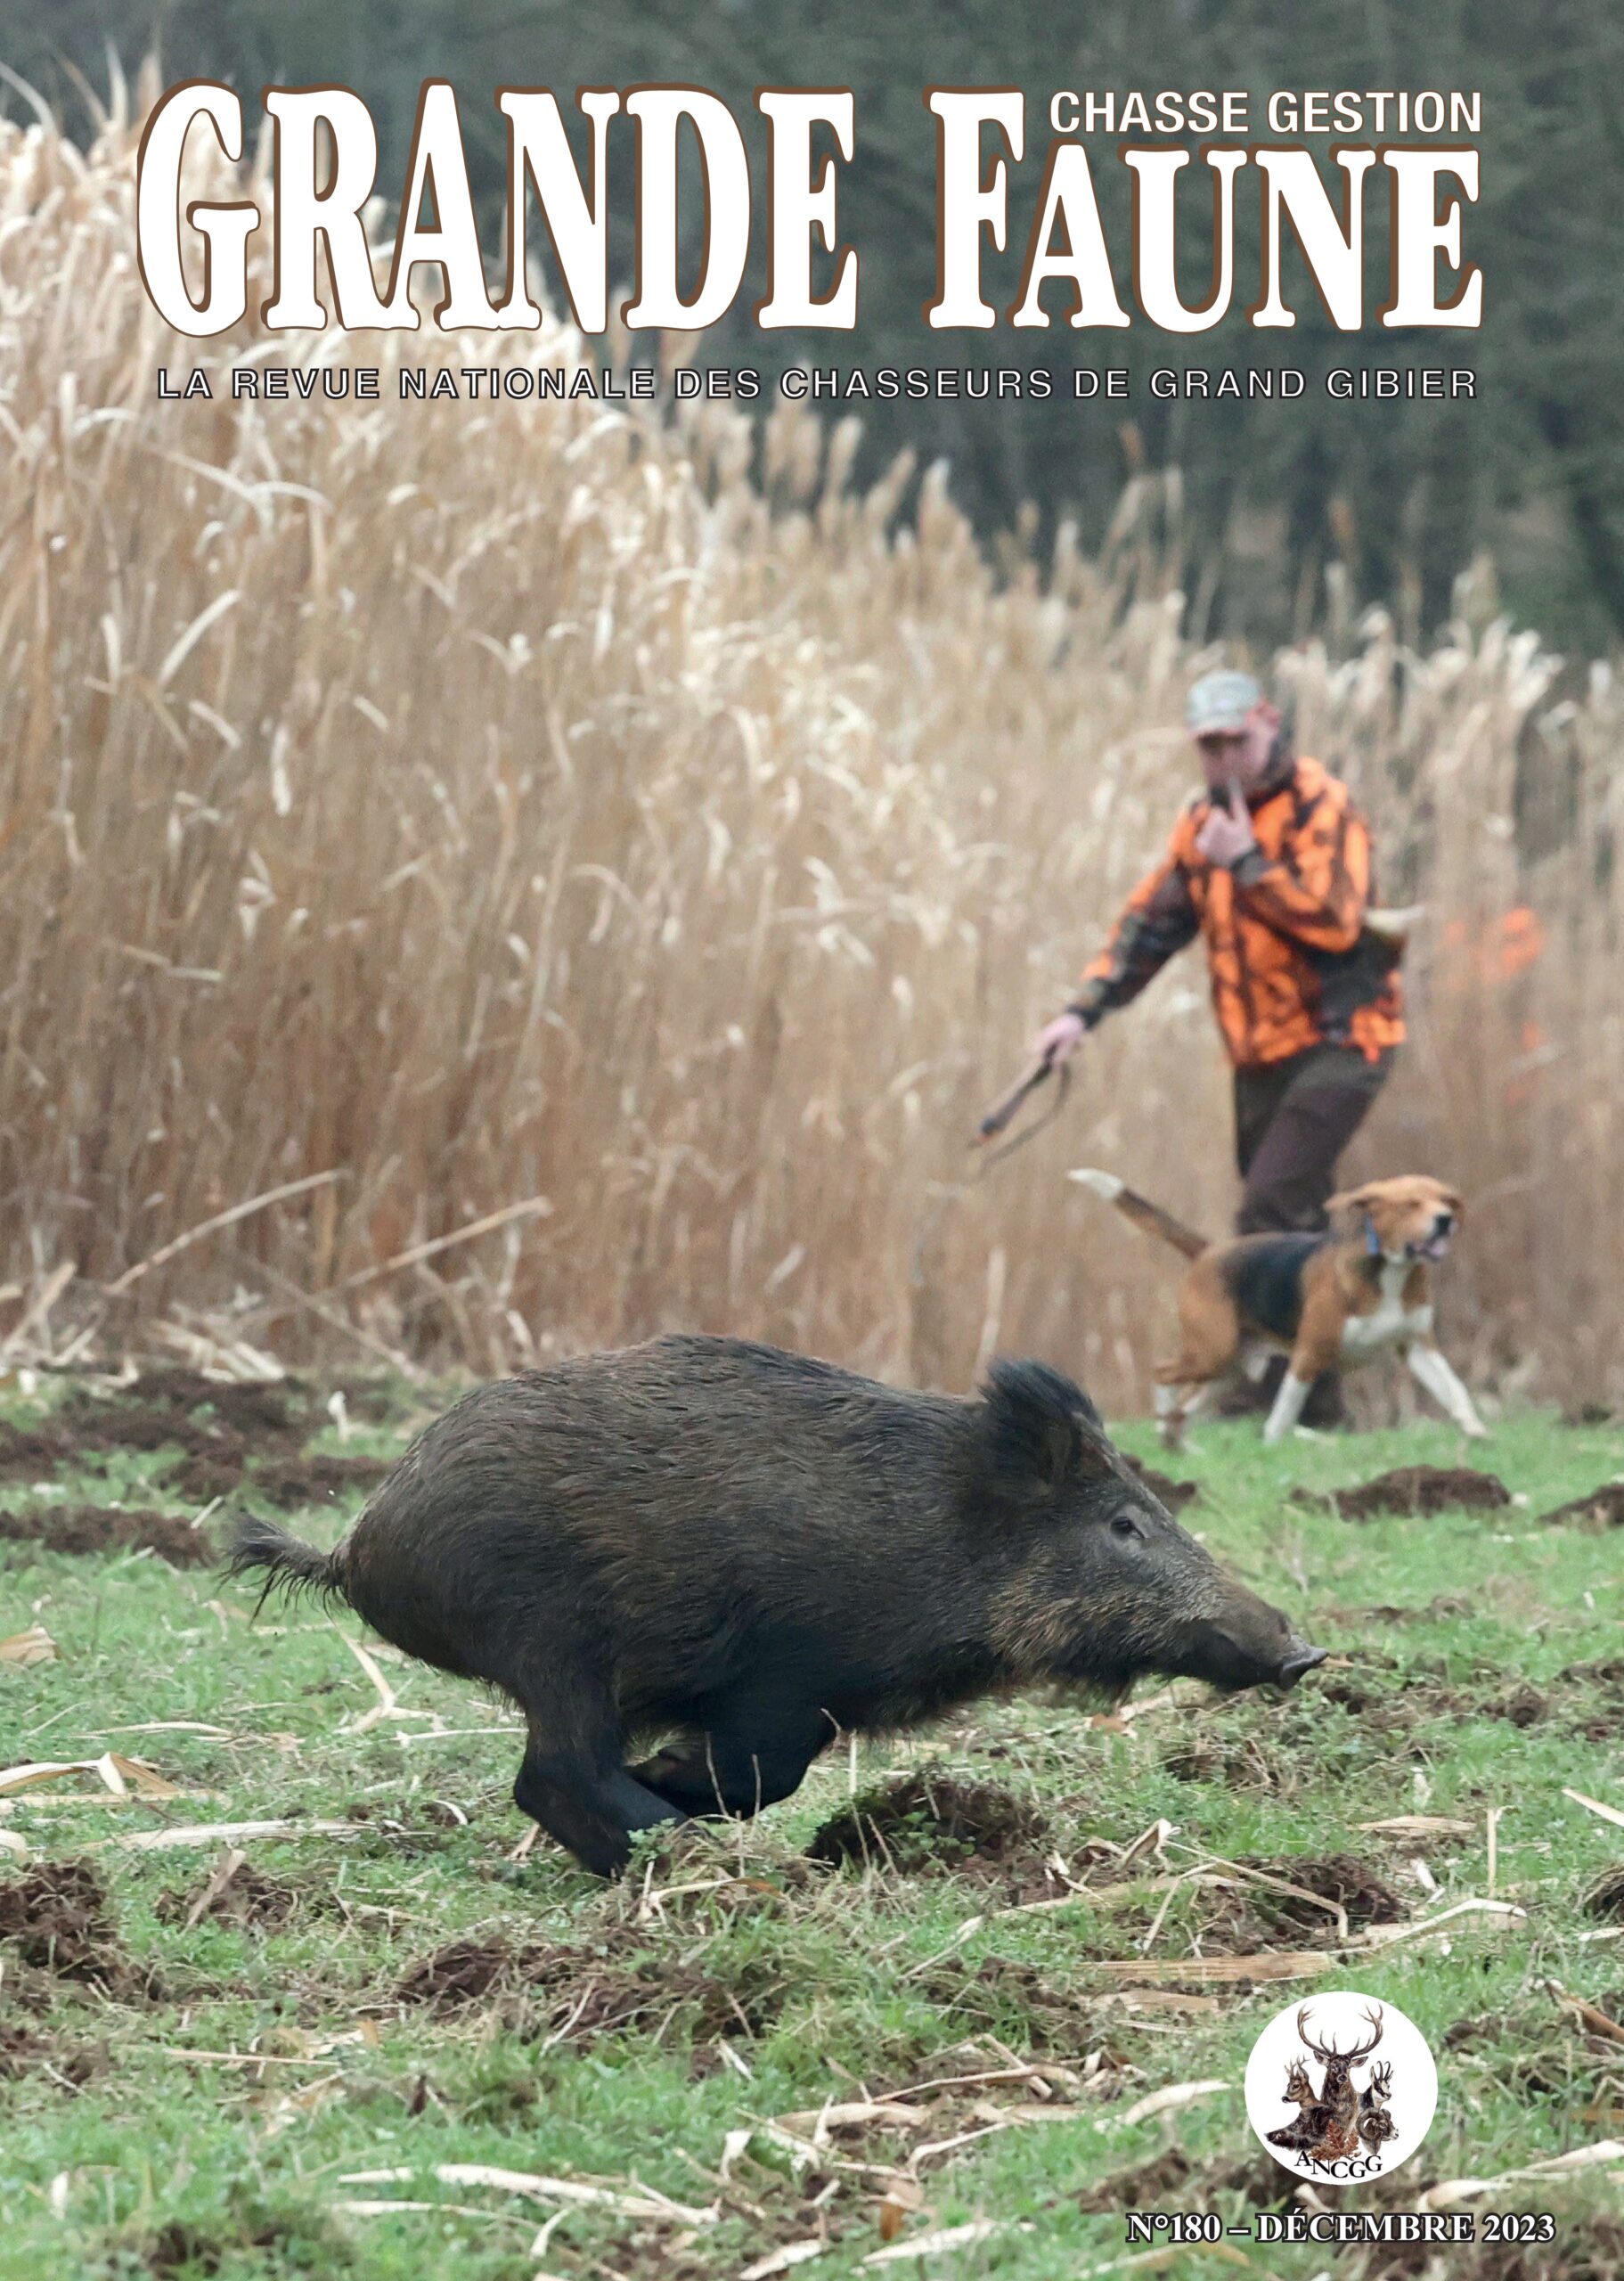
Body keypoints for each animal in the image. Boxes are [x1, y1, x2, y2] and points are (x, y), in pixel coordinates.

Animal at [1067, 1176, 1487, 1441]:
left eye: (1446, 1200)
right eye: (1410, 1204)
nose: (1445, 1220)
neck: (1390, 1271)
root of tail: (1210, 1251)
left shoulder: (1418, 1347)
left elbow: (1454, 1391)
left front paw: (1477, 1433)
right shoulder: (1310, 1353)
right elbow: (1286, 1408)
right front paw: (1273, 1441)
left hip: (1229, 1371)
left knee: (1184, 1408)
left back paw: (1179, 1443)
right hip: (1211, 1352)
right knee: (1162, 1373)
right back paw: (1161, 1423)